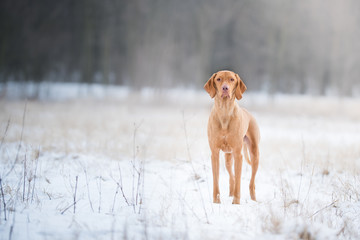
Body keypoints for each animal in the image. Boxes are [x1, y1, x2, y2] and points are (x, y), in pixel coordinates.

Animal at [204, 69, 260, 204]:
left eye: (232, 79)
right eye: (218, 79)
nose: (225, 88)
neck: (224, 112)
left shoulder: (238, 155)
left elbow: (239, 181)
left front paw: (236, 203)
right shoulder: (214, 153)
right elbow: (216, 180)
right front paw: (216, 202)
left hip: (254, 154)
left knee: (251, 182)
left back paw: (254, 199)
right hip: (228, 158)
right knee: (232, 177)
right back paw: (230, 192)